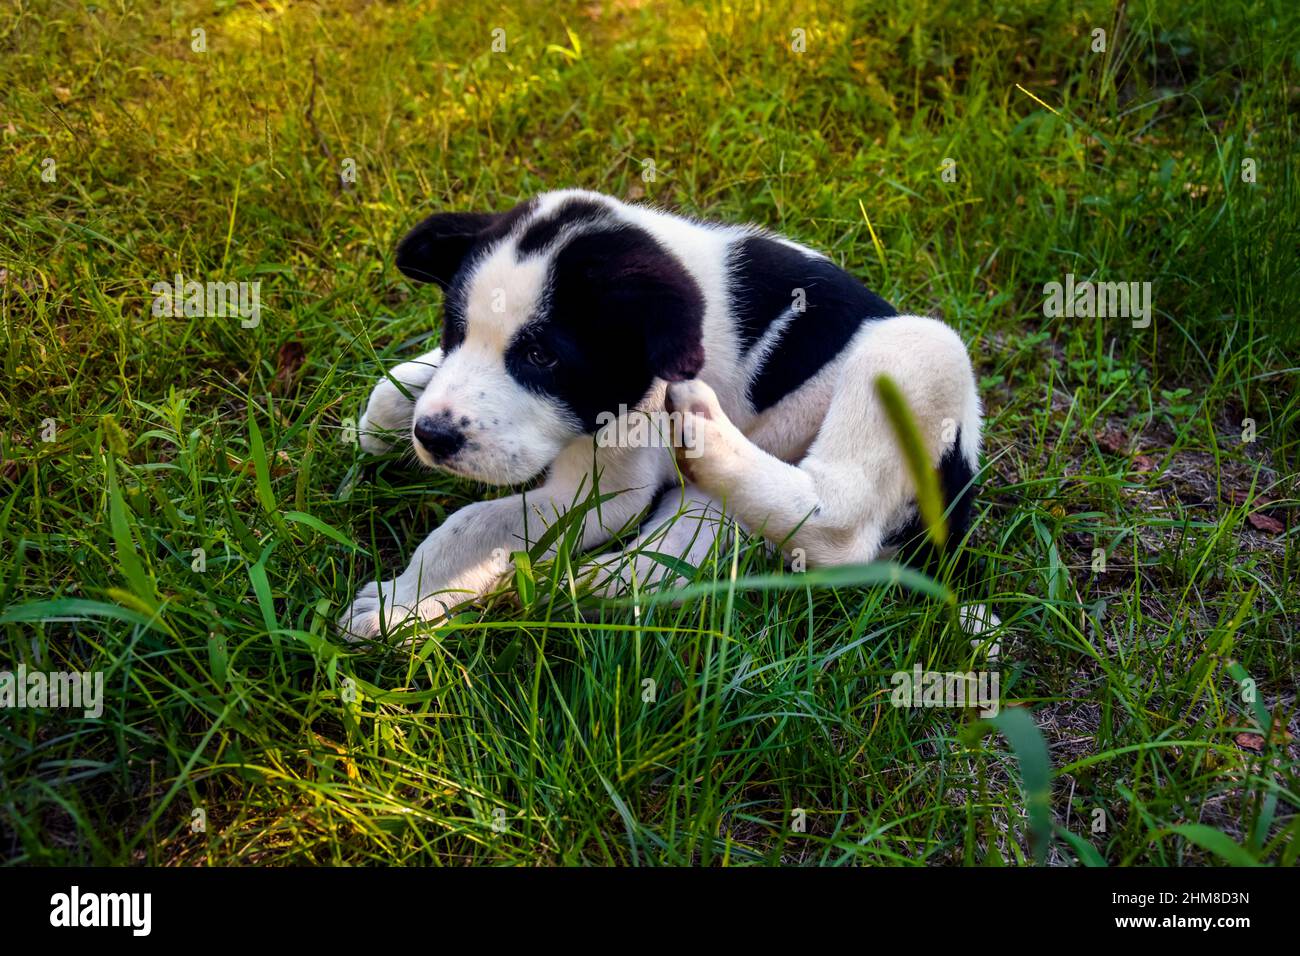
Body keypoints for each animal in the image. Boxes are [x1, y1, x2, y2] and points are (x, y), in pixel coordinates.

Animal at [340, 189, 977, 639]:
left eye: (543, 357)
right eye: (456, 330)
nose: (432, 436)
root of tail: (961, 487)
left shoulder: (601, 492)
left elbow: (470, 524)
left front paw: (401, 604)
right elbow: (400, 386)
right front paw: (383, 421)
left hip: (919, 350)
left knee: (843, 526)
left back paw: (703, 430)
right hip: (711, 510)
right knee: (679, 553)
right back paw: (581, 582)